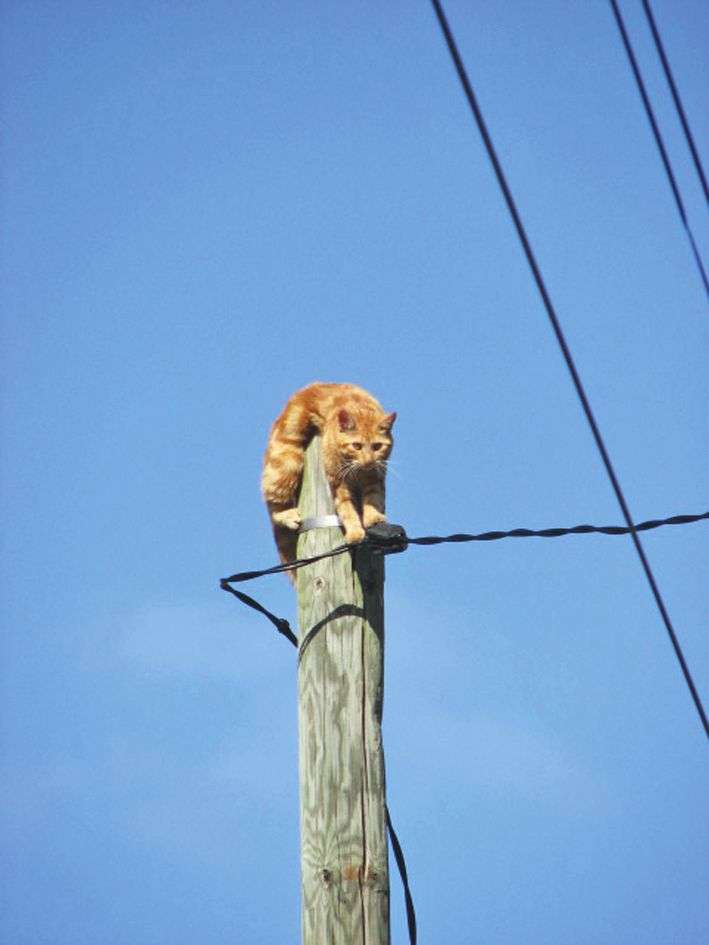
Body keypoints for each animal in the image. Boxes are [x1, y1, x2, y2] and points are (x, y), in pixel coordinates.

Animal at [262, 382, 396, 566]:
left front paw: (373, 518)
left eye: (377, 446)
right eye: (357, 446)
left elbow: (373, 499)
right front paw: (355, 533)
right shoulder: (338, 482)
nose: (368, 461)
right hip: (287, 461)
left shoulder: (375, 477)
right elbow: (347, 510)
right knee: (273, 505)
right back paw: (287, 515)